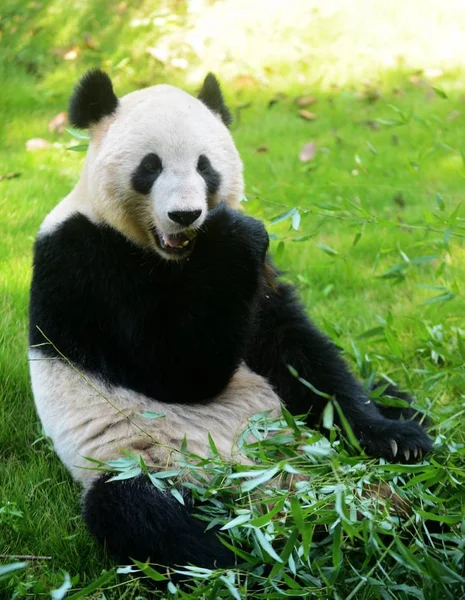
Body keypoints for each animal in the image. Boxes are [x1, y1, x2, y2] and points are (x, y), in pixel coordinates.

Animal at [27, 70, 430, 572]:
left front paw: (394, 439)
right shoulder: (83, 259)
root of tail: (279, 475)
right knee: (143, 513)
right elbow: (172, 370)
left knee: (380, 394)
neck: (172, 255)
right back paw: (285, 544)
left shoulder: (256, 283)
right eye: (150, 167)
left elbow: (297, 352)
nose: (185, 214)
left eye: (205, 167)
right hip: (152, 463)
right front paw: (233, 231)